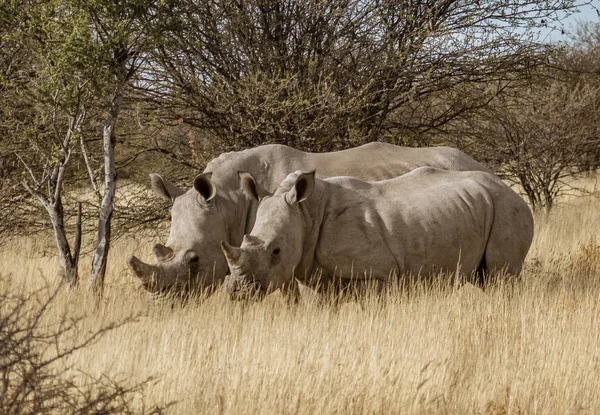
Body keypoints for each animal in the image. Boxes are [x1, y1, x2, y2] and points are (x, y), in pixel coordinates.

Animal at [220, 167, 536, 300]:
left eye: (276, 251)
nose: (238, 293)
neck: (305, 212)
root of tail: (510, 190)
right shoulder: (311, 273)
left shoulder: (377, 274)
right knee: (485, 278)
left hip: (508, 209)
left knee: (501, 276)